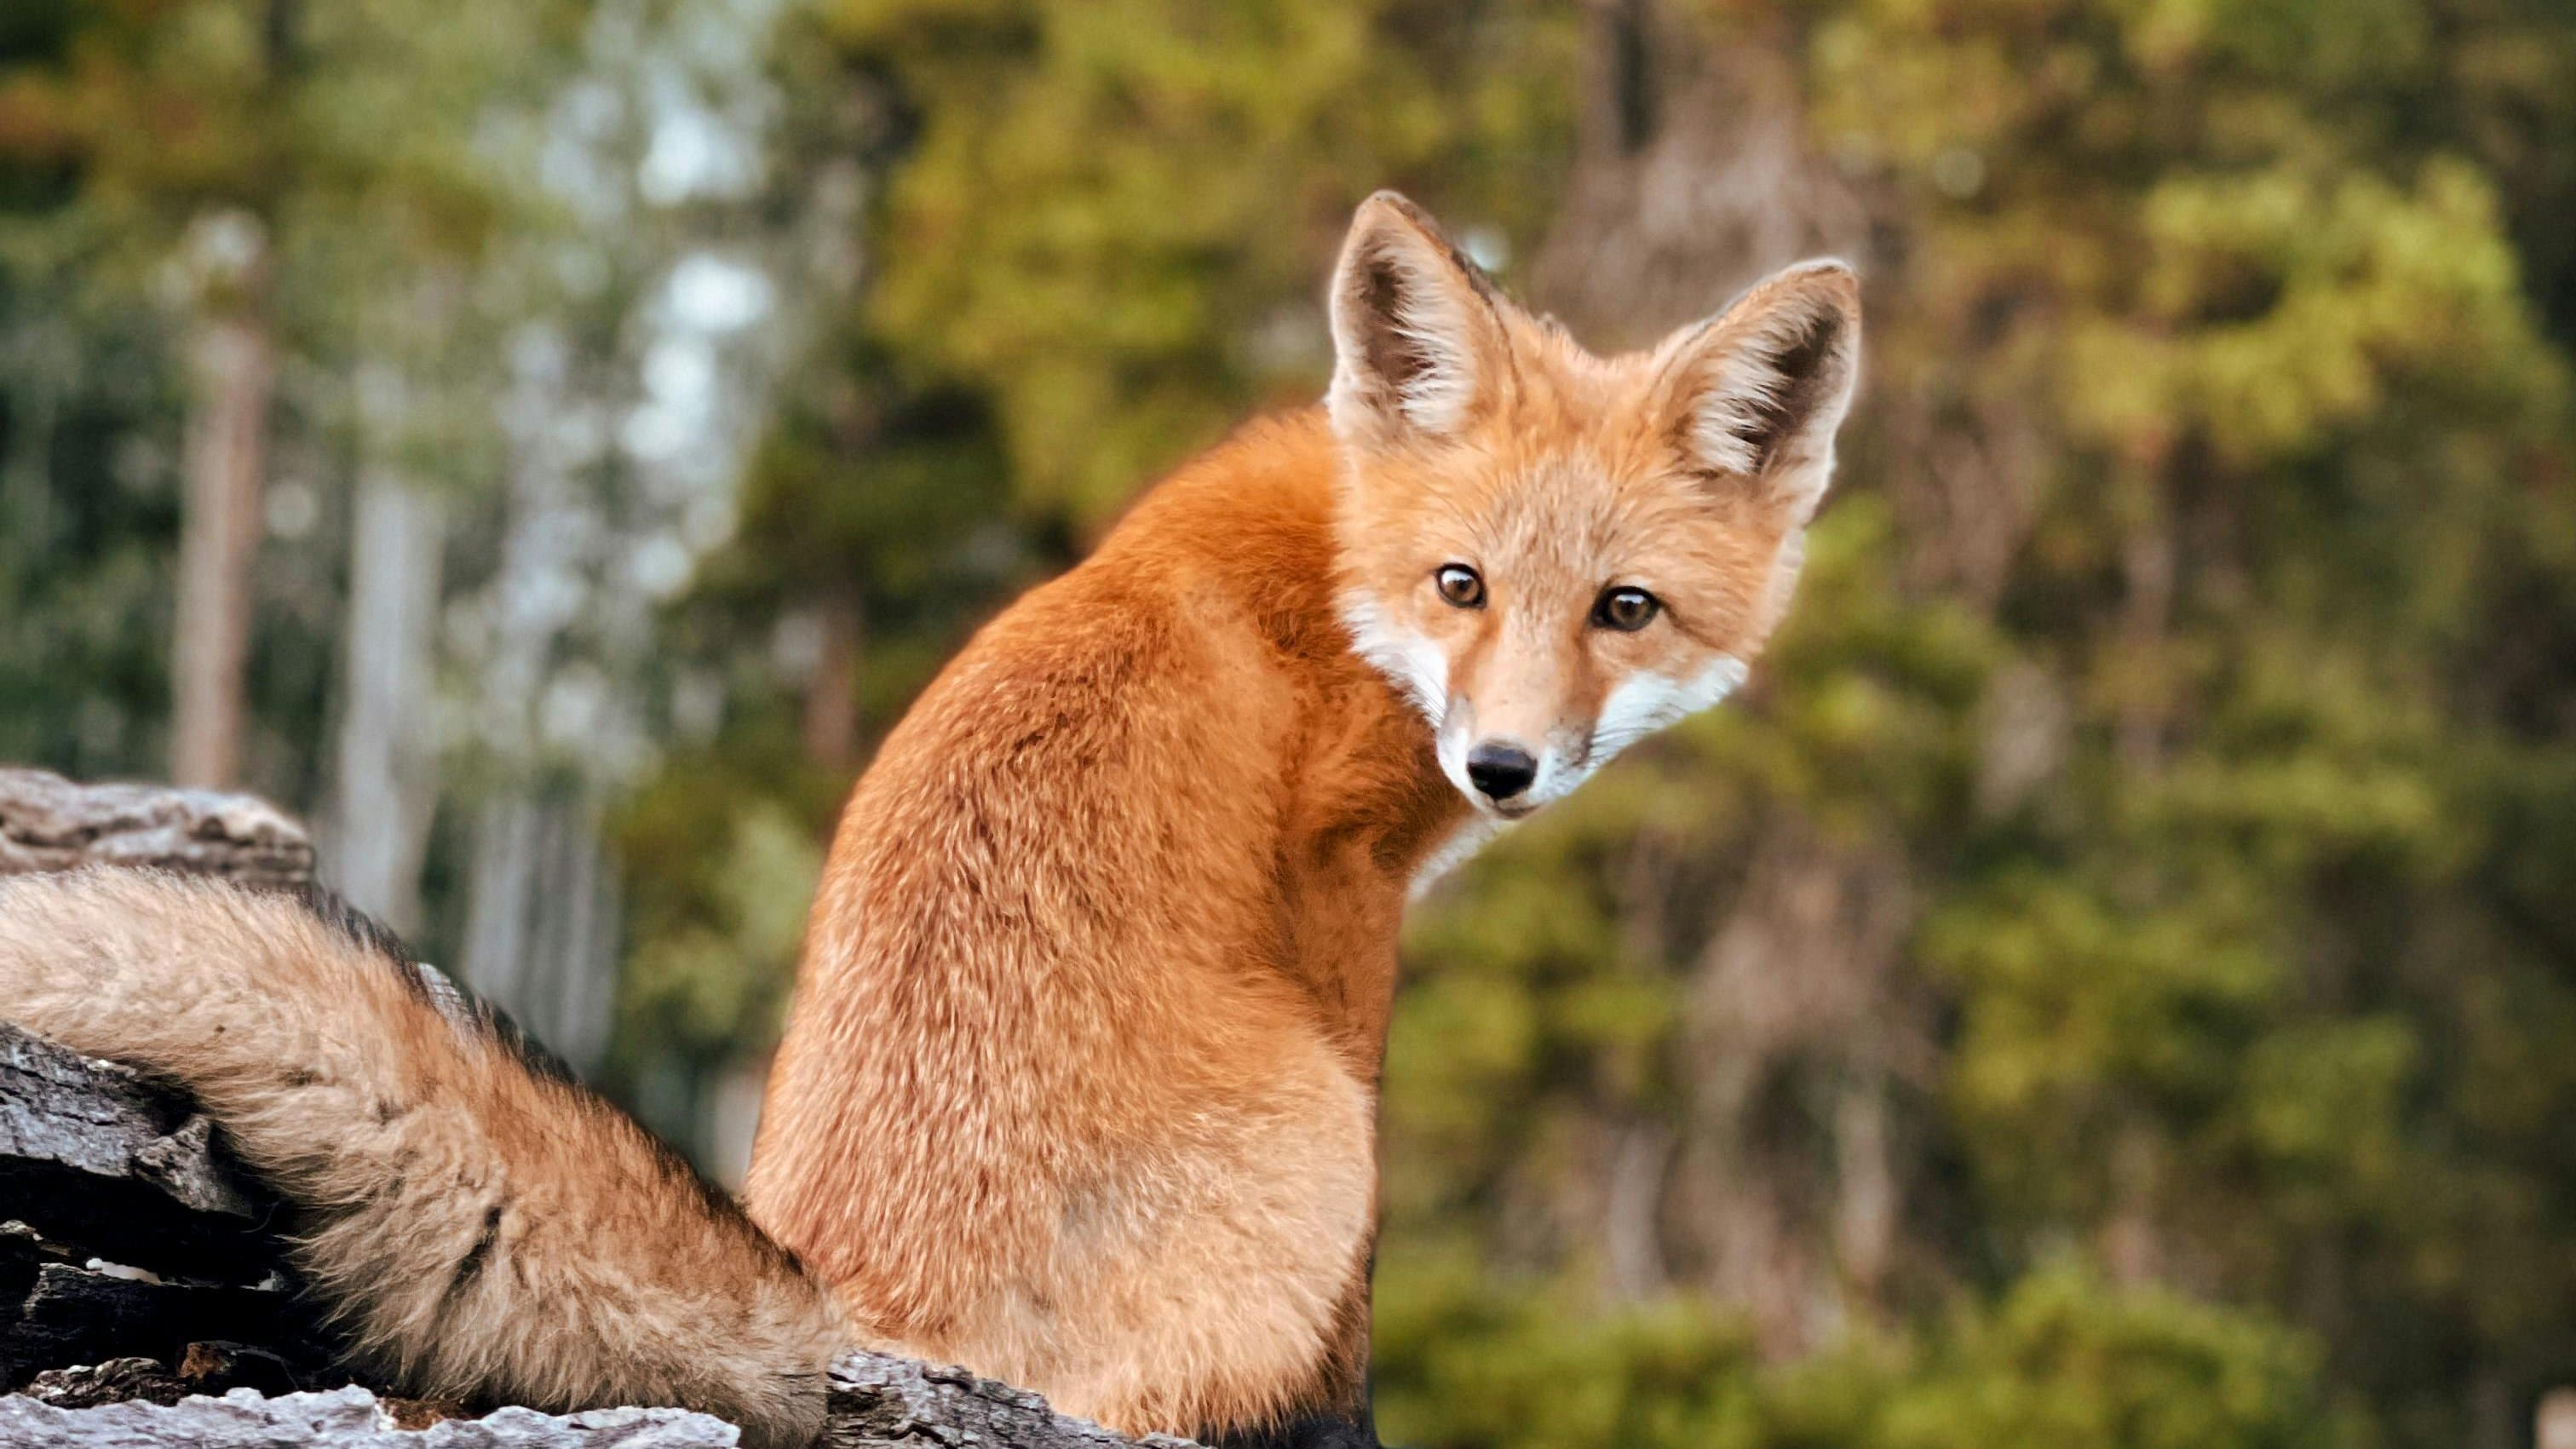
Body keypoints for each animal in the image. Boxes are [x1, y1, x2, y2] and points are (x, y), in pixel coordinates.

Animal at [0, 193, 1857, 1448]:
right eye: (1460, 585)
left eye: (1624, 610)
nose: (1504, 768)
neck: (1337, 585)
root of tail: (859, 1321)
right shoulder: (1343, 913)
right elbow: (1359, 1318)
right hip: (1311, 1127)